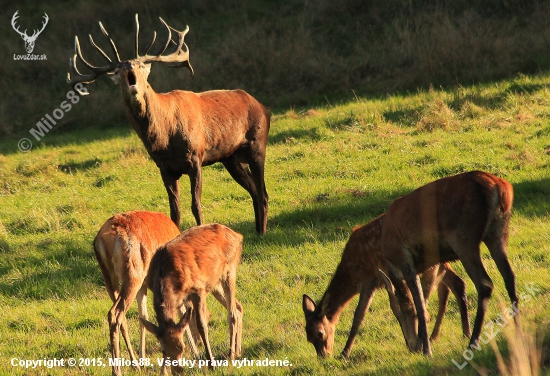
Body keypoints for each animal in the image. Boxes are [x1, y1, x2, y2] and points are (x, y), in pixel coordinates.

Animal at [69, 16, 272, 235]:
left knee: (263, 192)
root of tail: (264, 107)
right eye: (118, 69)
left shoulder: (196, 157)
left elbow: (196, 205)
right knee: (254, 190)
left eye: (142, 66)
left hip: (257, 144)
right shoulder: (164, 167)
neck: (165, 137)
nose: (130, 64)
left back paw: (263, 233)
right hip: (231, 158)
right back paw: (257, 230)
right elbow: (175, 211)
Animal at [94, 212, 201, 376]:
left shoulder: (144, 286)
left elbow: (143, 316)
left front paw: (142, 359)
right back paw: (117, 370)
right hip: (133, 276)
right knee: (115, 313)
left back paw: (134, 364)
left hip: (109, 277)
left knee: (121, 316)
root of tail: (105, 240)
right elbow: (180, 309)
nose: (200, 341)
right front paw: (195, 352)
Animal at [142, 223, 244, 374]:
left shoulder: (198, 290)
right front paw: (163, 371)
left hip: (229, 270)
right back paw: (238, 351)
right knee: (238, 307)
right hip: (214, 282)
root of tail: (237, 235)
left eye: (182, 347)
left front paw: (211, 363)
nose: (177, 371)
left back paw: (231, 355)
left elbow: (201, 325)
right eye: (163, 351)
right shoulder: (178, 300)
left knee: (232, 314)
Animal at [302, 214, 470, 358]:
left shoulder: (370, 278)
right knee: (456, 283)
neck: (351, 271)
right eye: (308, 337)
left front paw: (344, 352)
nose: (323, 356)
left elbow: (358, 316)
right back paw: (451, 334)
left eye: (320, 333)